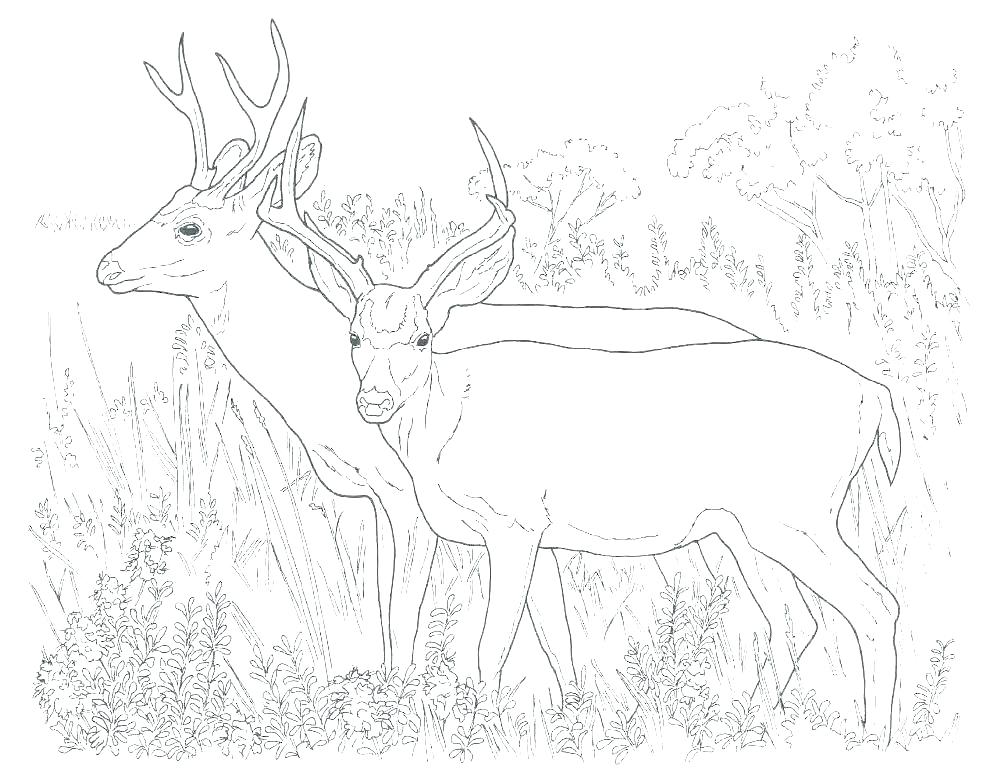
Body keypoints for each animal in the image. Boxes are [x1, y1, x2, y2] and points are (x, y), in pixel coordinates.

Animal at [94, 21, 777, 689]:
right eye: (162, 203)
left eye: (189, 227)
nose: (107, 268)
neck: (318, 382)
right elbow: (546, 636)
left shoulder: (407, 499)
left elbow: (402, 618)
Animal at [270, 105, 904, 745]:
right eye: (354, 335)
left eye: (422, 338)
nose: (373, 399)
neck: (447, 423)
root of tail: (873, 395)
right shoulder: (543, 536)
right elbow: (555, 634)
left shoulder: (514, 522)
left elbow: (490, 647)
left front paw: (480, 730)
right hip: (745, 527)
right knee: (796, 616)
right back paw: (745, 725)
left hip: (797, 516)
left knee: (875, 605)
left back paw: (872, 736)